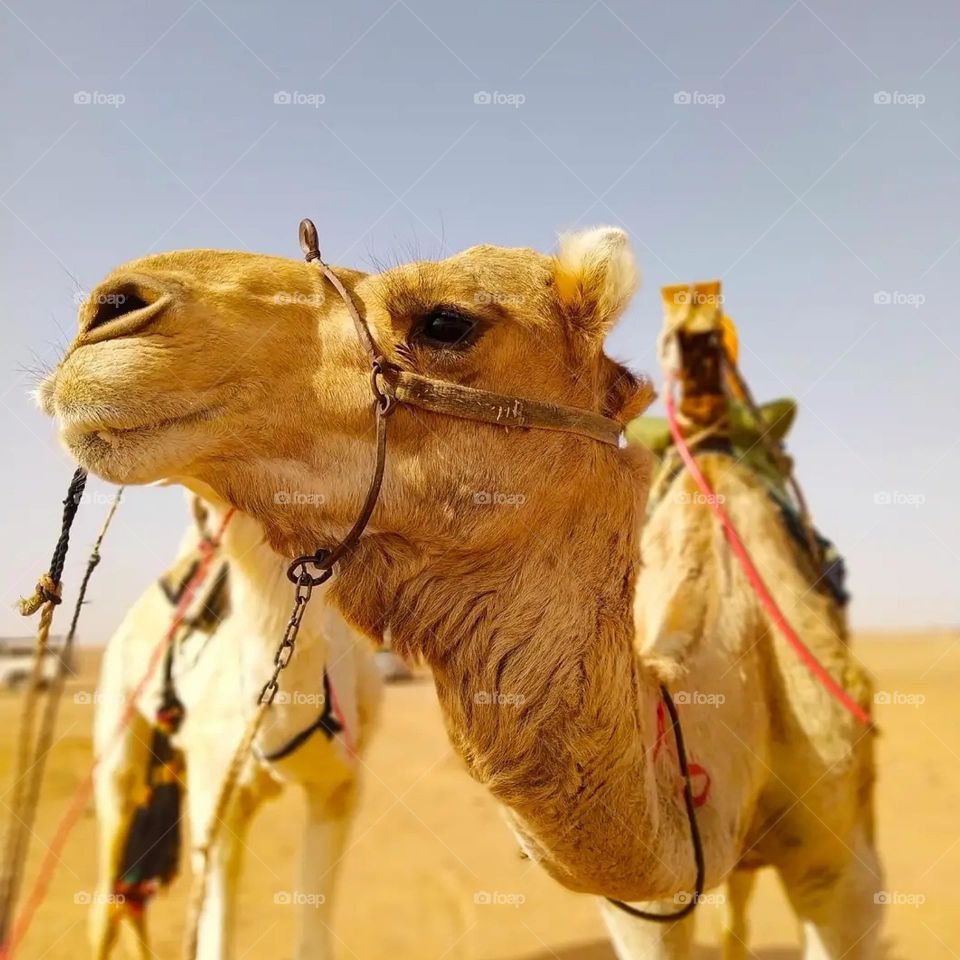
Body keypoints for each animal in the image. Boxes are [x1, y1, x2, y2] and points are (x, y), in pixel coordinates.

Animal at [91, 496, 381, 960]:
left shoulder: (341, 786)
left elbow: (313, 933)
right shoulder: (215, 790)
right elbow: (215, 940)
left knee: (129, 895)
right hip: (120, 721)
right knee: (108, 893)